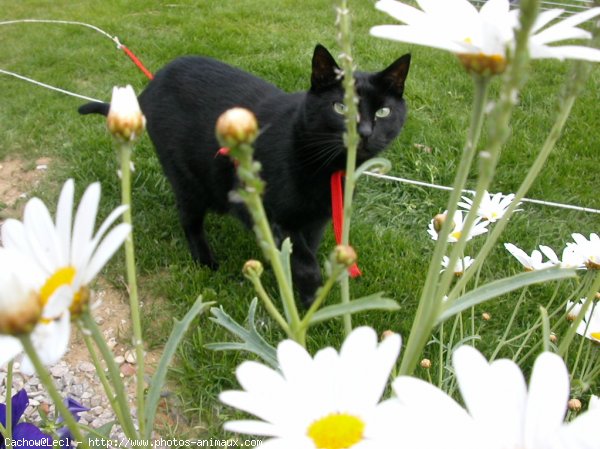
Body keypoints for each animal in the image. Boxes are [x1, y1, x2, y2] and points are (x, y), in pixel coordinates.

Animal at [78, 44, 408, 304]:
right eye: (341, 108)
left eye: (383, 112)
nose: (364, 133)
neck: (325, 168)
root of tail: (150, 86)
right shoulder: (272, 215)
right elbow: (305, 263)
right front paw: (308, 301)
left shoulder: (316, 220)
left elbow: (306, 253)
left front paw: (299, 292)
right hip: (187, 181)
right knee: (189, 220)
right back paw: (205, 261)